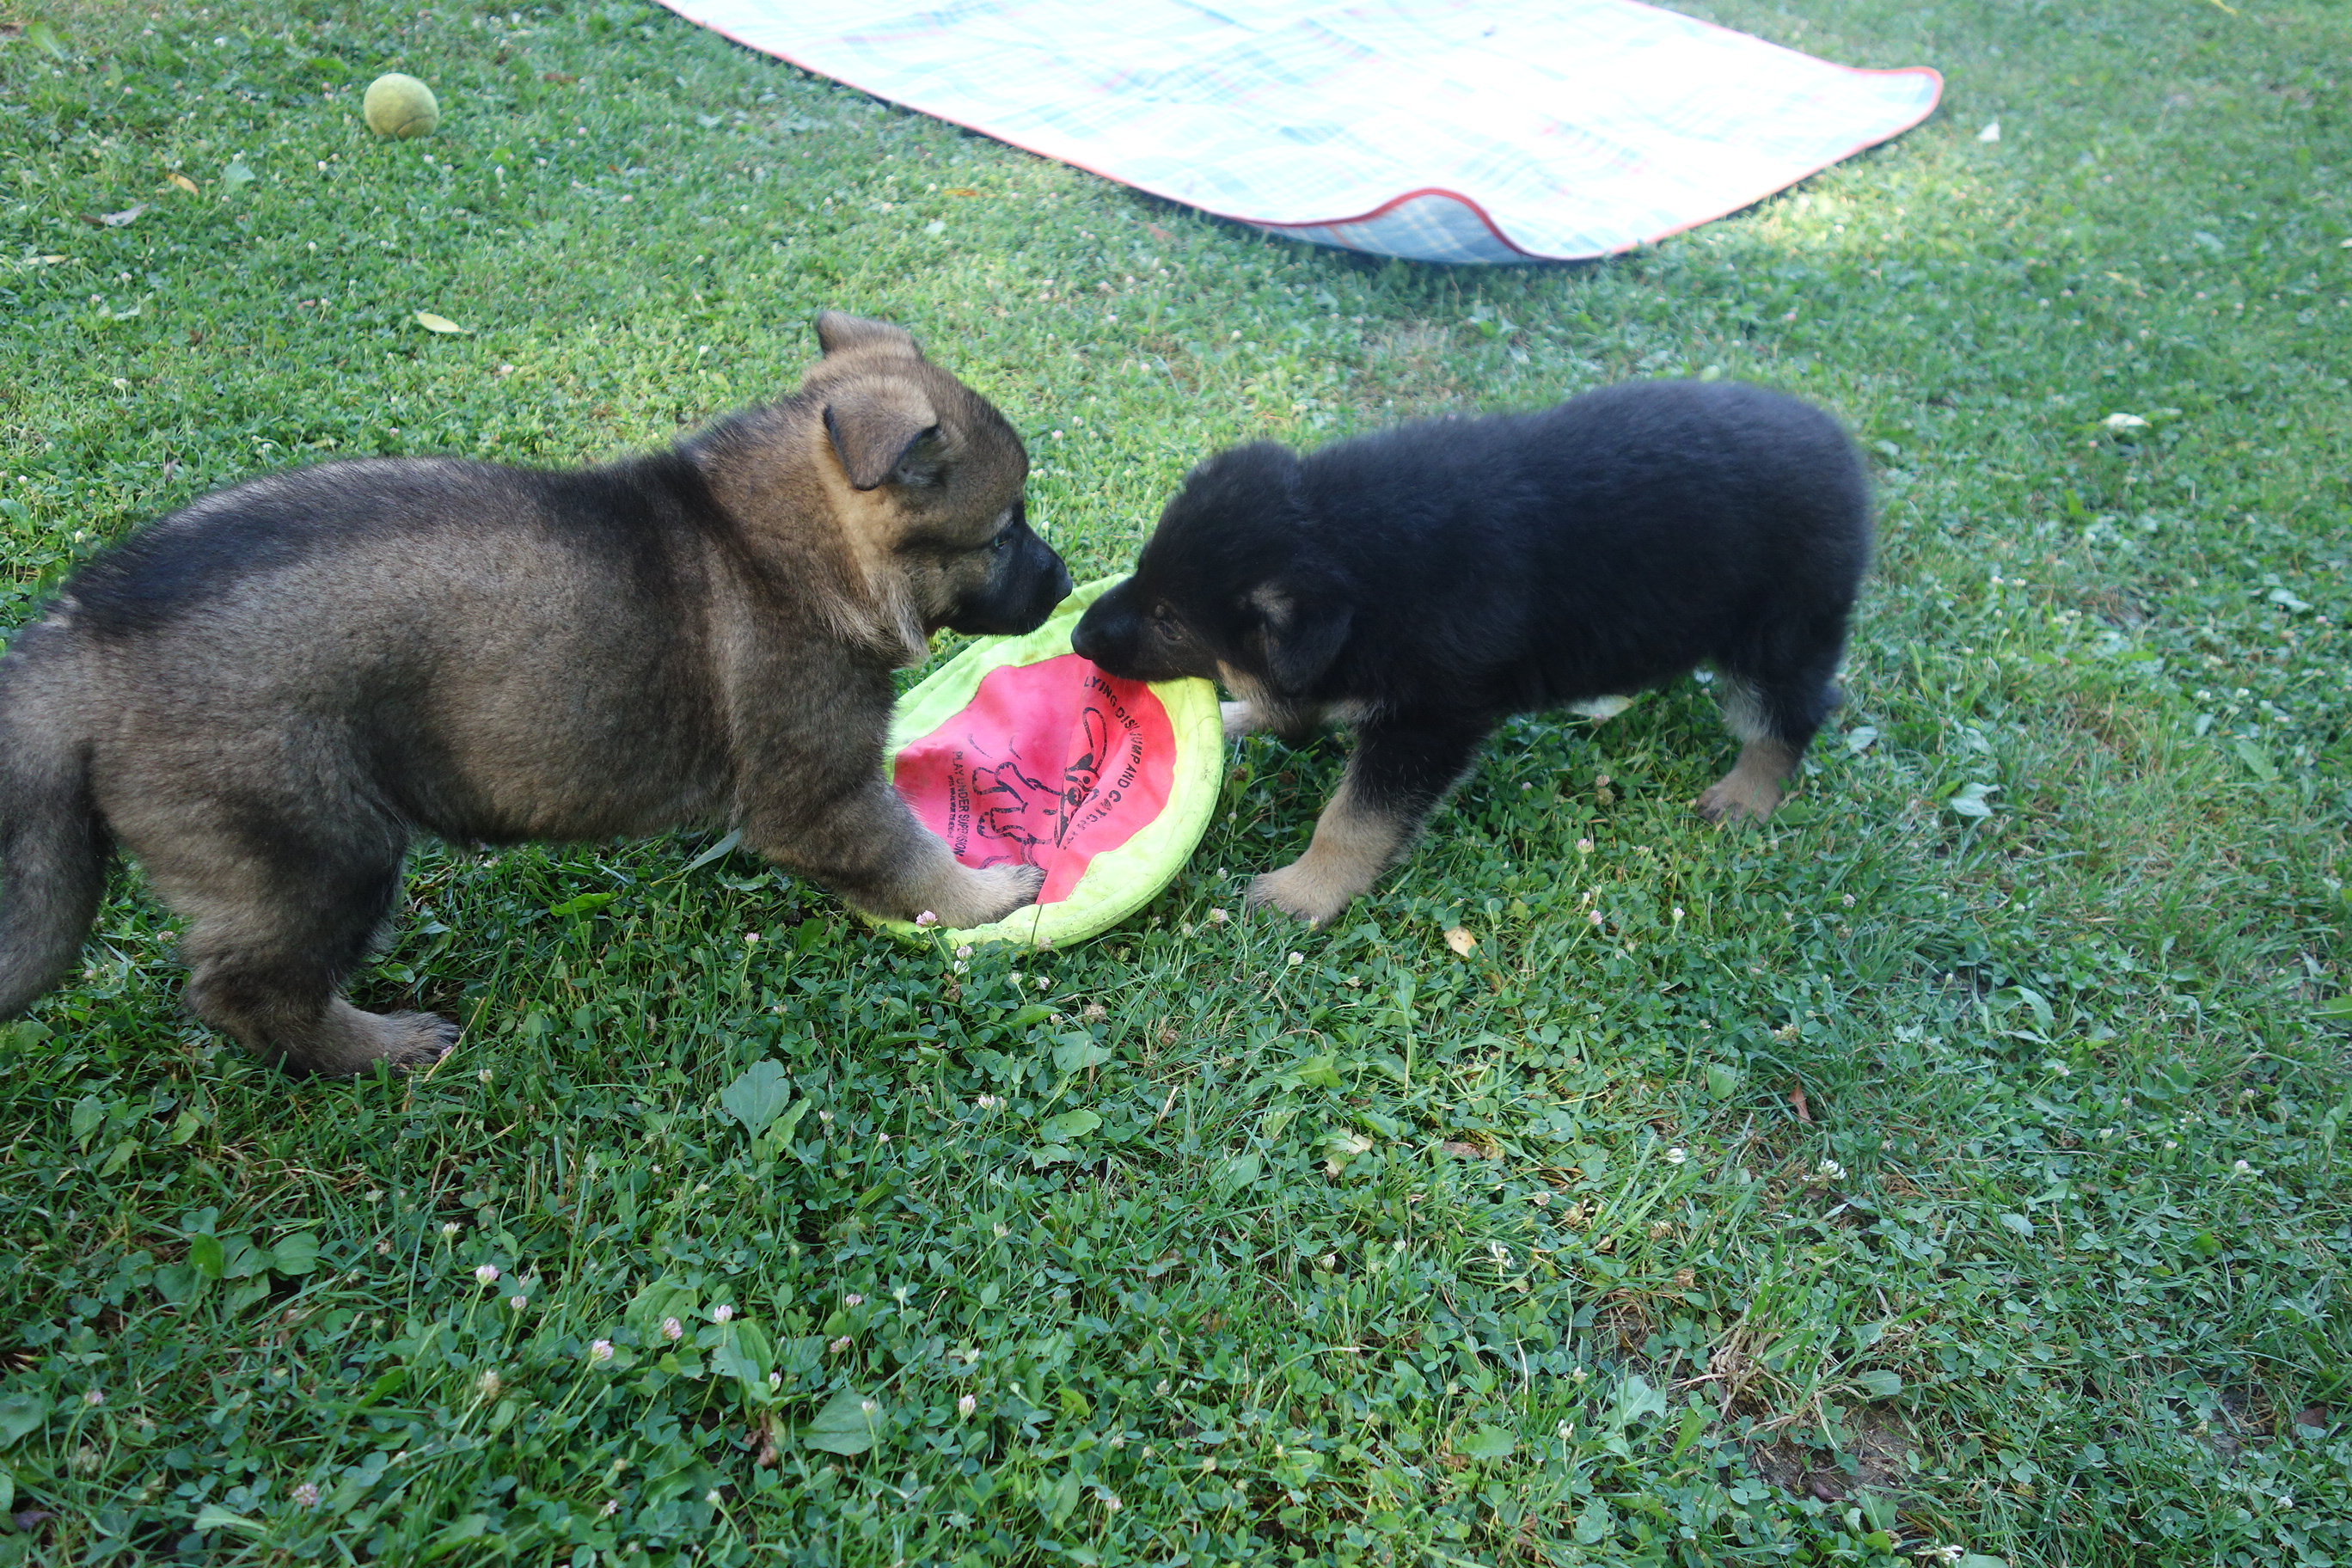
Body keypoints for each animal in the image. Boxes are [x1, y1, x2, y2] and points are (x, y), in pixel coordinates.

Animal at [0, 312, 1070, 1075]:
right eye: (1004, 533)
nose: (1063, 585)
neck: (779, 540)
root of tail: (80, 646)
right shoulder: (824, 794)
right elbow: (908, 858)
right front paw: (989, 894)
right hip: (316, 847)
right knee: (248, 991)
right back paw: (376, 1048)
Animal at [1071, 378, 1870, 926]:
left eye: (1170, 620)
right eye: (1143, 575)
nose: (1075, 636)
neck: (1346, 538)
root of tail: (1842, 451)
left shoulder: (1432, 719)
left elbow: (1353, 819)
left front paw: (1306, 890)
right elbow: (1294, 705)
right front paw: (1239, 719)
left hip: (1780, 631)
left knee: (1795, 710)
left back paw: (1747, 793)